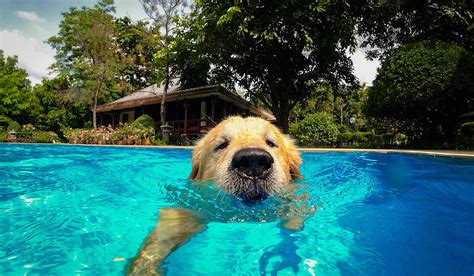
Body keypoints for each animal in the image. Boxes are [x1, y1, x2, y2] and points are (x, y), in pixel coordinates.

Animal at [129, 116, 308, 274]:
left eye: (270, 143)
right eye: (222, 145)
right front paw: (144, 269)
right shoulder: (188, 207)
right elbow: (159, 241)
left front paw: (285, 254)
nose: (254, 161)